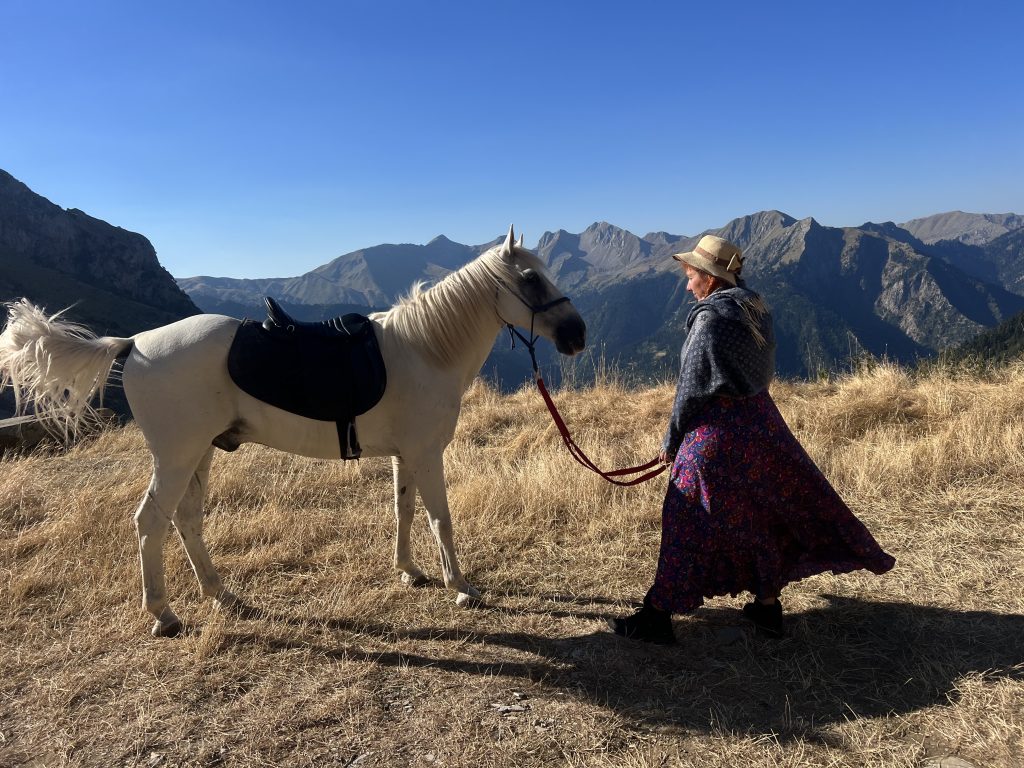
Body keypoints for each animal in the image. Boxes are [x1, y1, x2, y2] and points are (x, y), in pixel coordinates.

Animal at [0, 226, 587, 637]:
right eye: (530, 278)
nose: (577, 334)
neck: (424, 349)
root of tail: (135, 343)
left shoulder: (406, 454)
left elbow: (403, 511)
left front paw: (409, 571)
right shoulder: (426, 453)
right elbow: (440, 518)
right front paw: (460, 587)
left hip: (199, 454)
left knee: (186, 520)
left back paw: (222, 595)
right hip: (176, 456)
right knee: (151, 522)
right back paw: (164, 615)